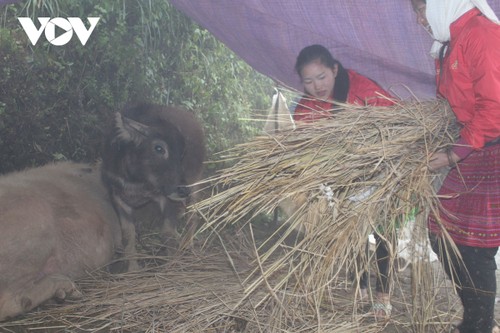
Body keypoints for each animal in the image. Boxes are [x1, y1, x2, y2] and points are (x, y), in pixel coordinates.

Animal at [101, 104, 205, 270]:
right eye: (159, 148)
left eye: (181, 154)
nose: (183, 189)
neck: (137, 181)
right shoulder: (117, 196)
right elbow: (128, 233)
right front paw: (132, 269)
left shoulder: (168, 198)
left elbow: (167, 232)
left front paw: (172, 265)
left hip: (196, 183)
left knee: (193, 217)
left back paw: (187, 246)